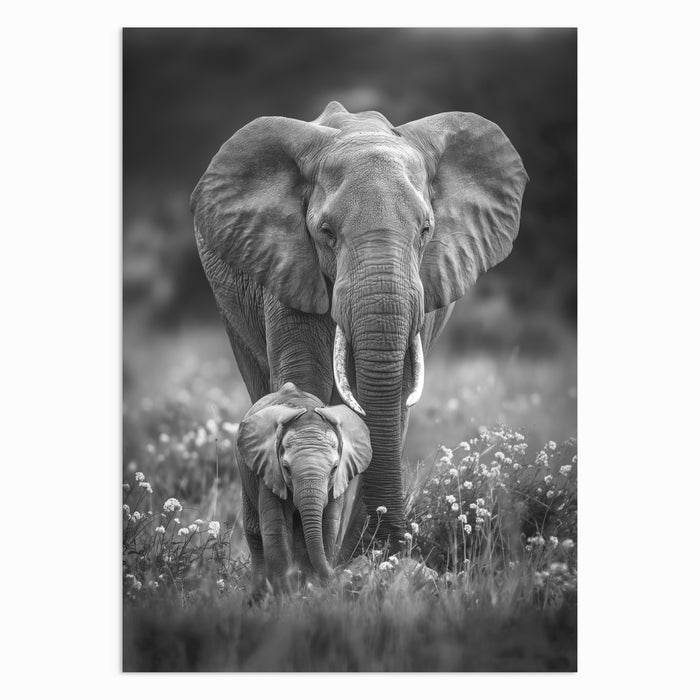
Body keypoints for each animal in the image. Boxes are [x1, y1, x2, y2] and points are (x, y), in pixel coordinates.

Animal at [191, 101, 527, 556]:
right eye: (326, 233)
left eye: (426, 230)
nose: (395, 542)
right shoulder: (287, 267)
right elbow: (303, 383)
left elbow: (398, 396)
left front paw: (374, 558)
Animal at [236, 382, 372, 593]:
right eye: (286, 469)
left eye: (334, 469)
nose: (338, 573)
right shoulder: (269, 472)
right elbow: (275, 527)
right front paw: (285, 593)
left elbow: (327, 525)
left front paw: (312, 589)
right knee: (255, 533)